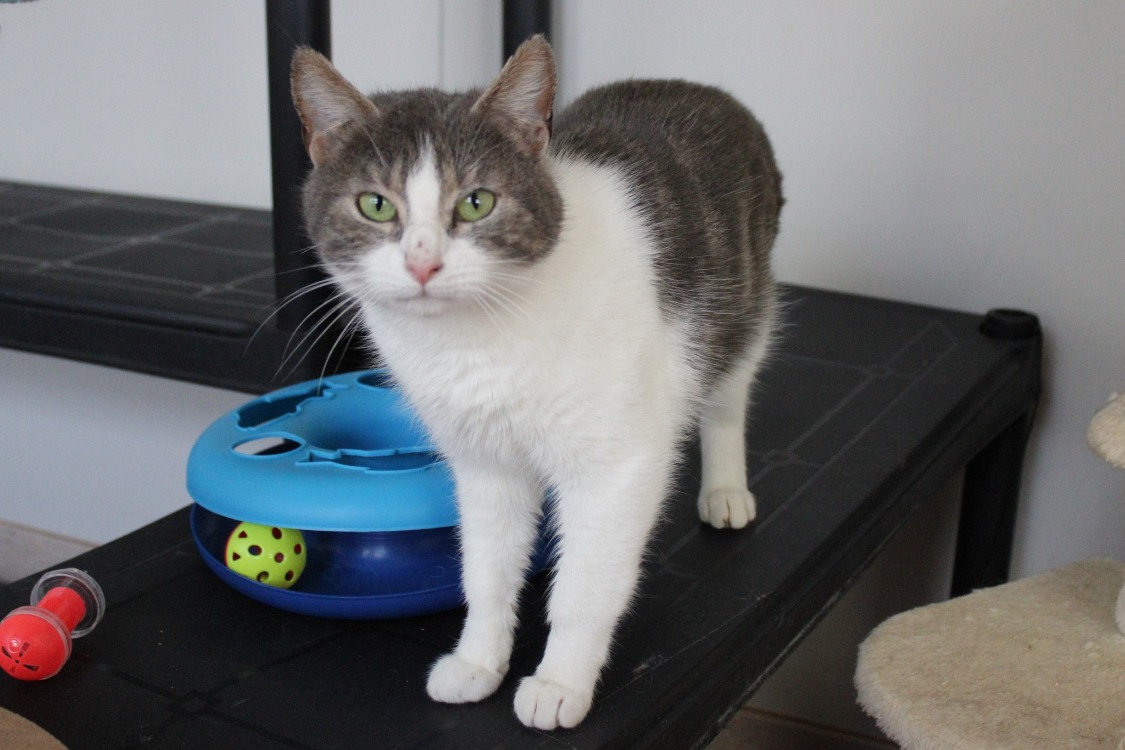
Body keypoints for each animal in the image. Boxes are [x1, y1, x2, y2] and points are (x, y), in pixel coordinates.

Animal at [291, 35, 782, 730]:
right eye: (375, 204)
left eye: (476, 202)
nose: (422, 262)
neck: (477, 344)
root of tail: (706, 91)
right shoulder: (483, 465)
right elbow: (487, 570)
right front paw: (478, 660)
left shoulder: (616, 467)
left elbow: (584, 585)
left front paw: (559, 681)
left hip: (742, 310)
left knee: (727, 398)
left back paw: (724, 489)